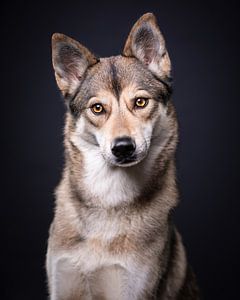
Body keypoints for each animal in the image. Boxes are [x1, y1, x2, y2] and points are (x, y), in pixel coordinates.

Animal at [46, 12, 200, 300]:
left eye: (140, 102)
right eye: (97, 108)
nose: (123, 147)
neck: (109, 198)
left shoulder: (131, 289)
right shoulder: (62, 285)